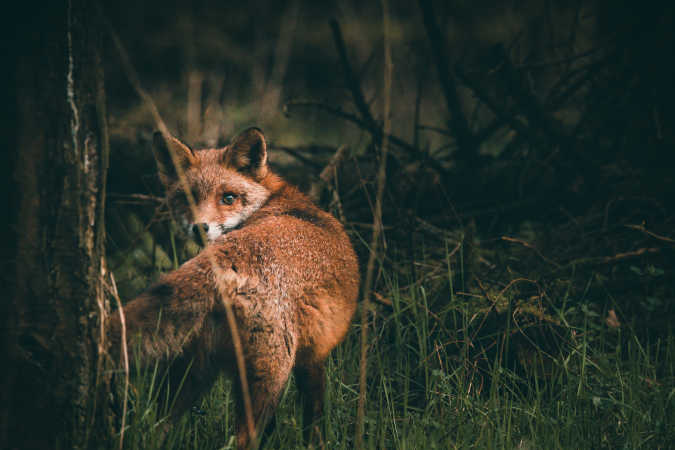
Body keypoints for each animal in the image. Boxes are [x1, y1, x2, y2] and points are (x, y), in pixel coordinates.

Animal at [107, 128, 360, 448]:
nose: (200, 227)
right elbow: (314, 421)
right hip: (270, 378)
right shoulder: (313, 357)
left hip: (190, 376)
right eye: (186, 198)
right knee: (242, 440)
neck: (274, 197)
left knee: (156, 430)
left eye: (228, 198)